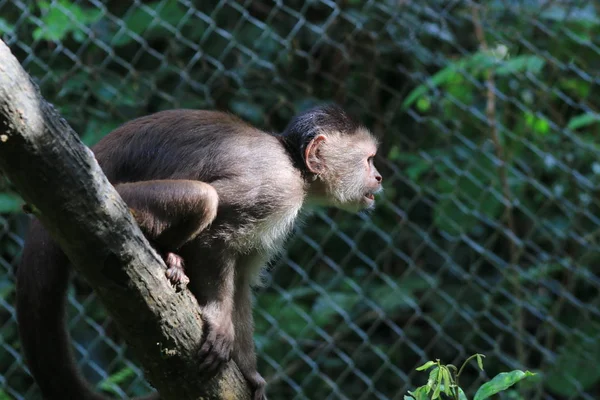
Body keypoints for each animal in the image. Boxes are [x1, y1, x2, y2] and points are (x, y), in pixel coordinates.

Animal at [17, 104, 384, 400]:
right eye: (368, 161)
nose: (379, 176)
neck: (294, 164)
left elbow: (242, 282)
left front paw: (249, 371)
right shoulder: (277, 187)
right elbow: (215, 237)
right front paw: (219, 322)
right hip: (112, 197)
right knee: (204, 197)